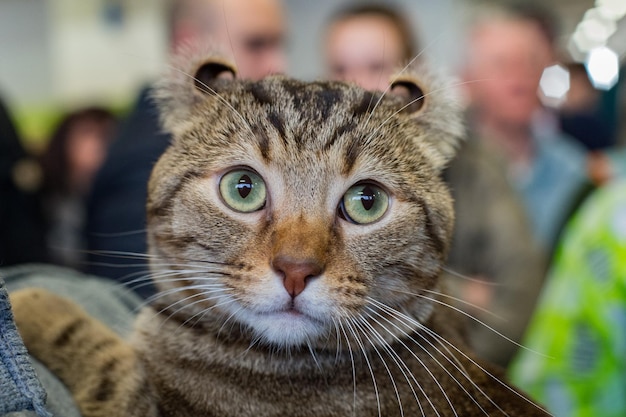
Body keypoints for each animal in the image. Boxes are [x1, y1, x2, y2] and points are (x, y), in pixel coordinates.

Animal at [9, 47, 548, 414]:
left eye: (367, 201)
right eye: (242, 188)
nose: (295, 269)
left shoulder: (137, 403)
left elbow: (101, 354)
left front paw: (31, 302)